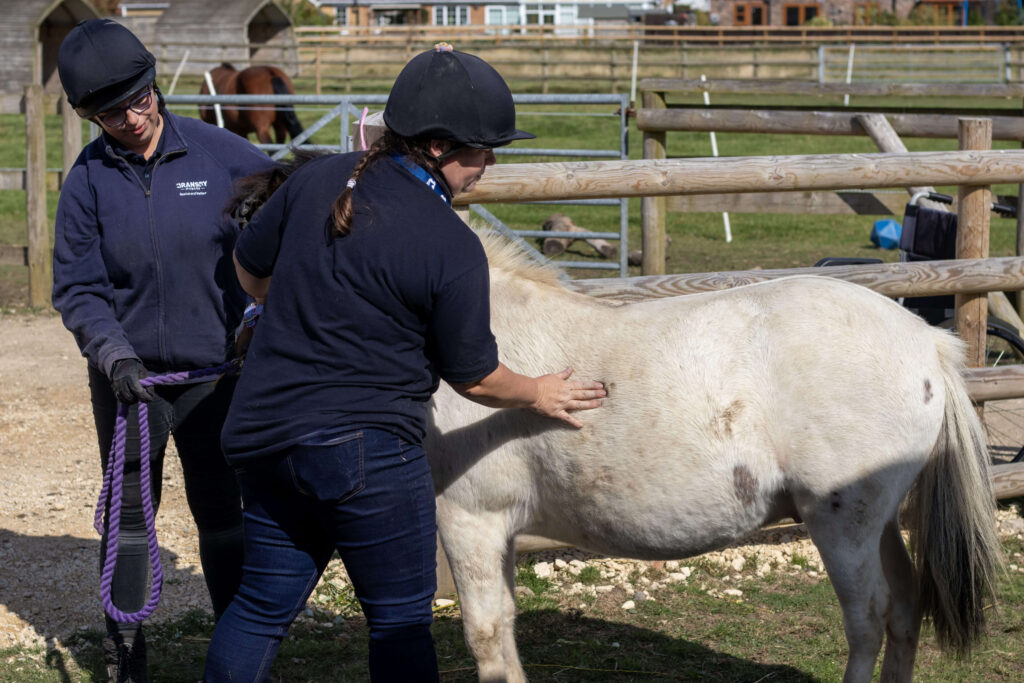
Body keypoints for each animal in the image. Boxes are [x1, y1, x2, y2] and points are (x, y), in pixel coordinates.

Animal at [425, 231, 1003, 683]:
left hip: (843, 525)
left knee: (867, 620)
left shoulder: (469, 520)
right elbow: (505, 624)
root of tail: (926, 342)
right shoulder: (497, 529)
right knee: (905, 606)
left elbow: (485, 634)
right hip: (877, 522)